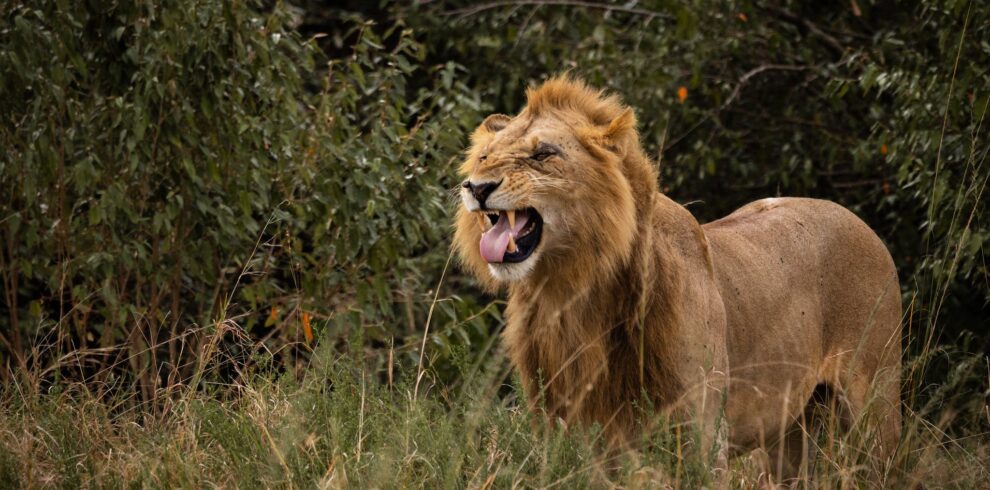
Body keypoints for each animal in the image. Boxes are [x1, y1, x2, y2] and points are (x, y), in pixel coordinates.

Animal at [454, 74, 904, 480]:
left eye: (543, 154)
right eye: (485, 156)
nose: (476, 187)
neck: (572, 291)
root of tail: (860, 222)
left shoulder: (702, 436)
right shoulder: (568, 433)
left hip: (876, 404)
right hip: (790, 433)